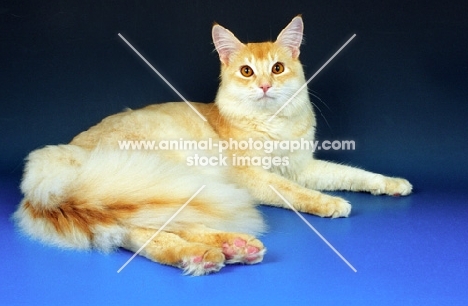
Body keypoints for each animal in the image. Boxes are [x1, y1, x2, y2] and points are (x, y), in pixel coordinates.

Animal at [13, 16, 410, 274]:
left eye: (277, 68)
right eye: (247, 72)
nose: (265, 86)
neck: (273, 124)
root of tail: (63, 157)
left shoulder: (301, 166)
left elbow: (354, 174)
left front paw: (392, 184)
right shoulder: (254, 176)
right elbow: (295, 193)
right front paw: (330, 203)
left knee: (144, 229)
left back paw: (231, 248)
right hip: (168, 178)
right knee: (145, 228)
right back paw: (205, 255)